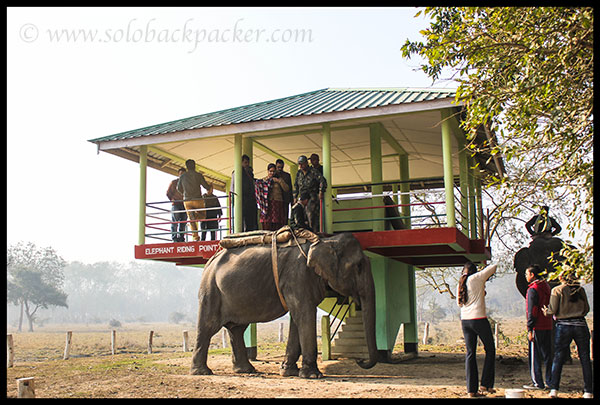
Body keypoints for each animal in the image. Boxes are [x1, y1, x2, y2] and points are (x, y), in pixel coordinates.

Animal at [190, 232, 378, 378]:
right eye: (359, 266)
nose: (360, 361)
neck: (324, 241)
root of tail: (210, 261)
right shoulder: (298, 276)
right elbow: (305, 314)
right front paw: (313, 375)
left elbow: (298, 317)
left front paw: (289, 372)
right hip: (211, 290)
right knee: (208, 327)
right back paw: (202, 372)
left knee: (236, 329)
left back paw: (246, 370)